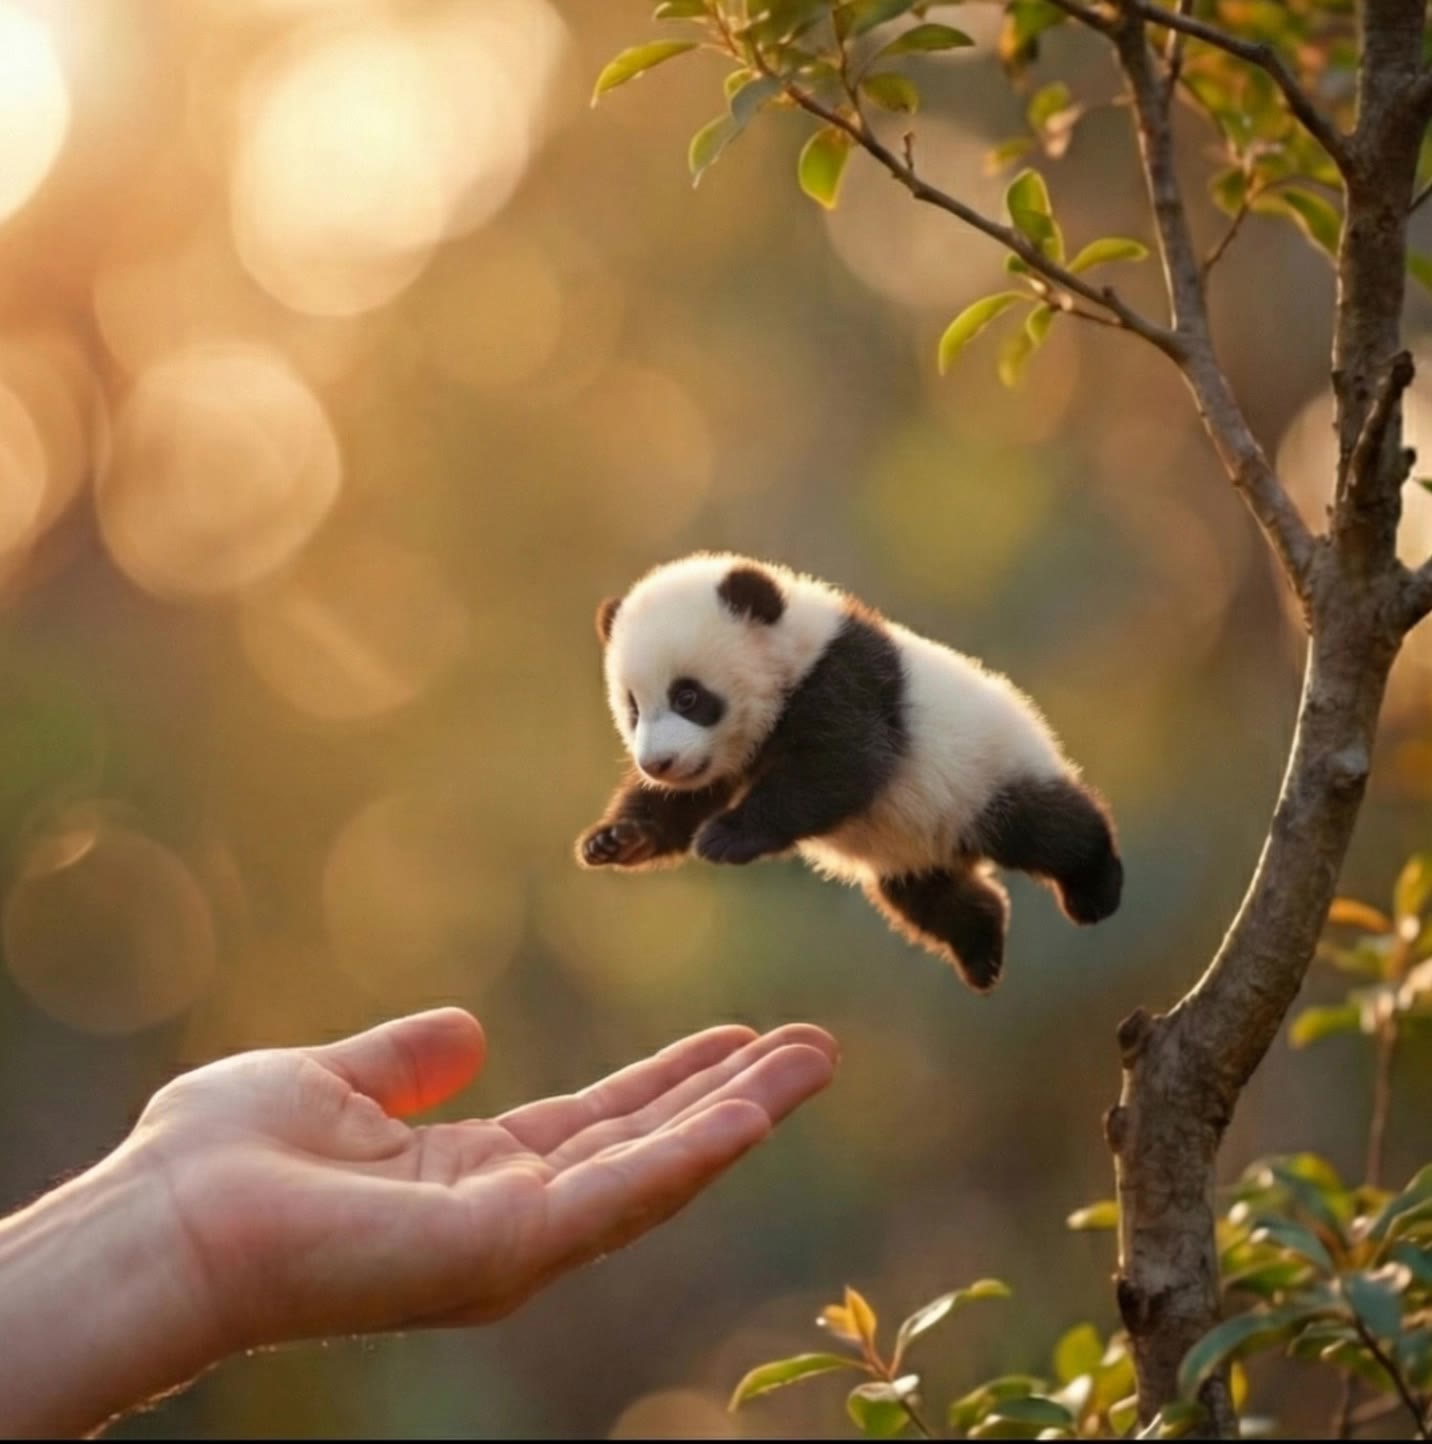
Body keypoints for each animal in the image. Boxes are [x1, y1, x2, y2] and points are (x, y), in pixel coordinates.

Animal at [576, 552, 1122, 992]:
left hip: (985, 773)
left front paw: (725, 836)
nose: (658, 764)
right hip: (915, 848)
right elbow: (686, 799)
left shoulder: (843, 682)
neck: (794, 653)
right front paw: (615, 840)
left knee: (1049, 829)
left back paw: (1094, 889)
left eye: (687, 696)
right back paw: (980, 951)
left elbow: (842, 766)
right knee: (933, 899)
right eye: (633, 709)